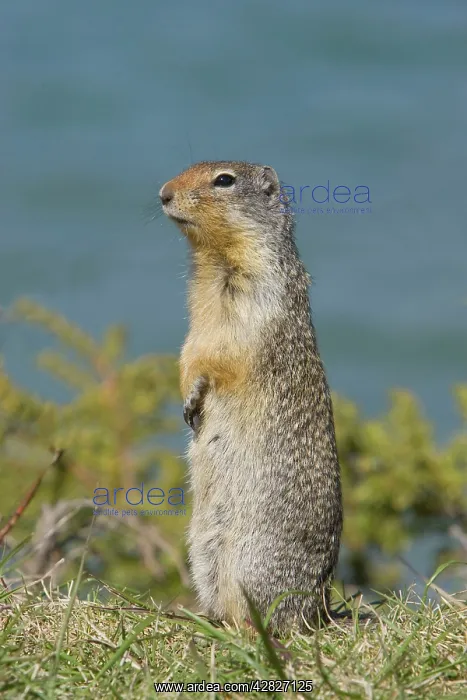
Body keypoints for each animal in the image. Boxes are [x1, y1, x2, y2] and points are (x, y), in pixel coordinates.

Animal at [160, 161, 342, 634]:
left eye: (224, 180)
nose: (164, 193)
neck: (215, 259)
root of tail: (317, 608)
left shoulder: (257, 297)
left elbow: (221, 354)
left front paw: (195, 394)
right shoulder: (199, 318)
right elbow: (188, 349)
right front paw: (187, 396)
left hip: (252, 559)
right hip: (206, 554)